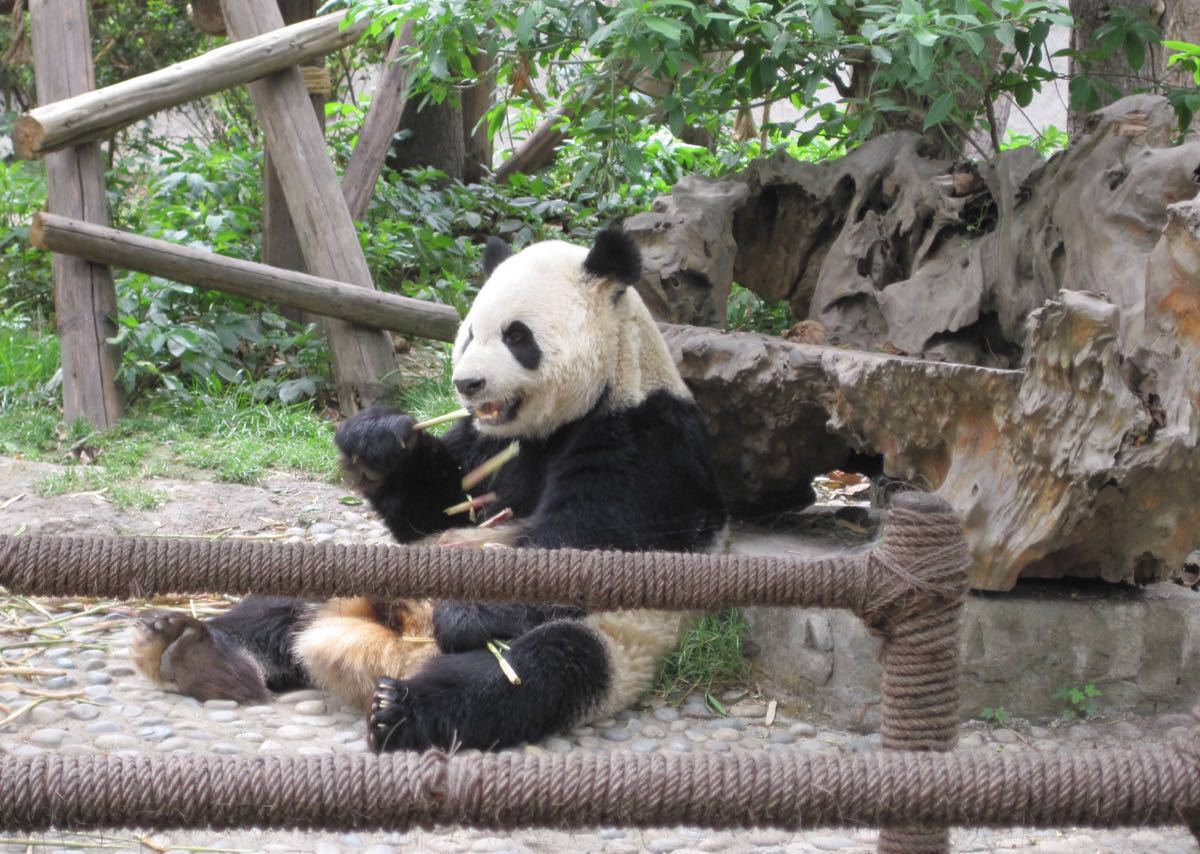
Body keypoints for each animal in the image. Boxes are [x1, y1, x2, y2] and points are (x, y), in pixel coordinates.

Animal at [130, 229, 720, 753]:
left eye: (517, 336)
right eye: (469, 334)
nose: (467, 384)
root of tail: (397, 645)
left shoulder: (646, 438)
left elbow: (595, 544)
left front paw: (466, 612)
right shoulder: (487, 444)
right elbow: (436, 508)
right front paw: (376, 441)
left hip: (617, 640)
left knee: (533, 671)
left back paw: (399, 709)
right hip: (358, 573)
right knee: (277, 605)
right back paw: (189, 649)